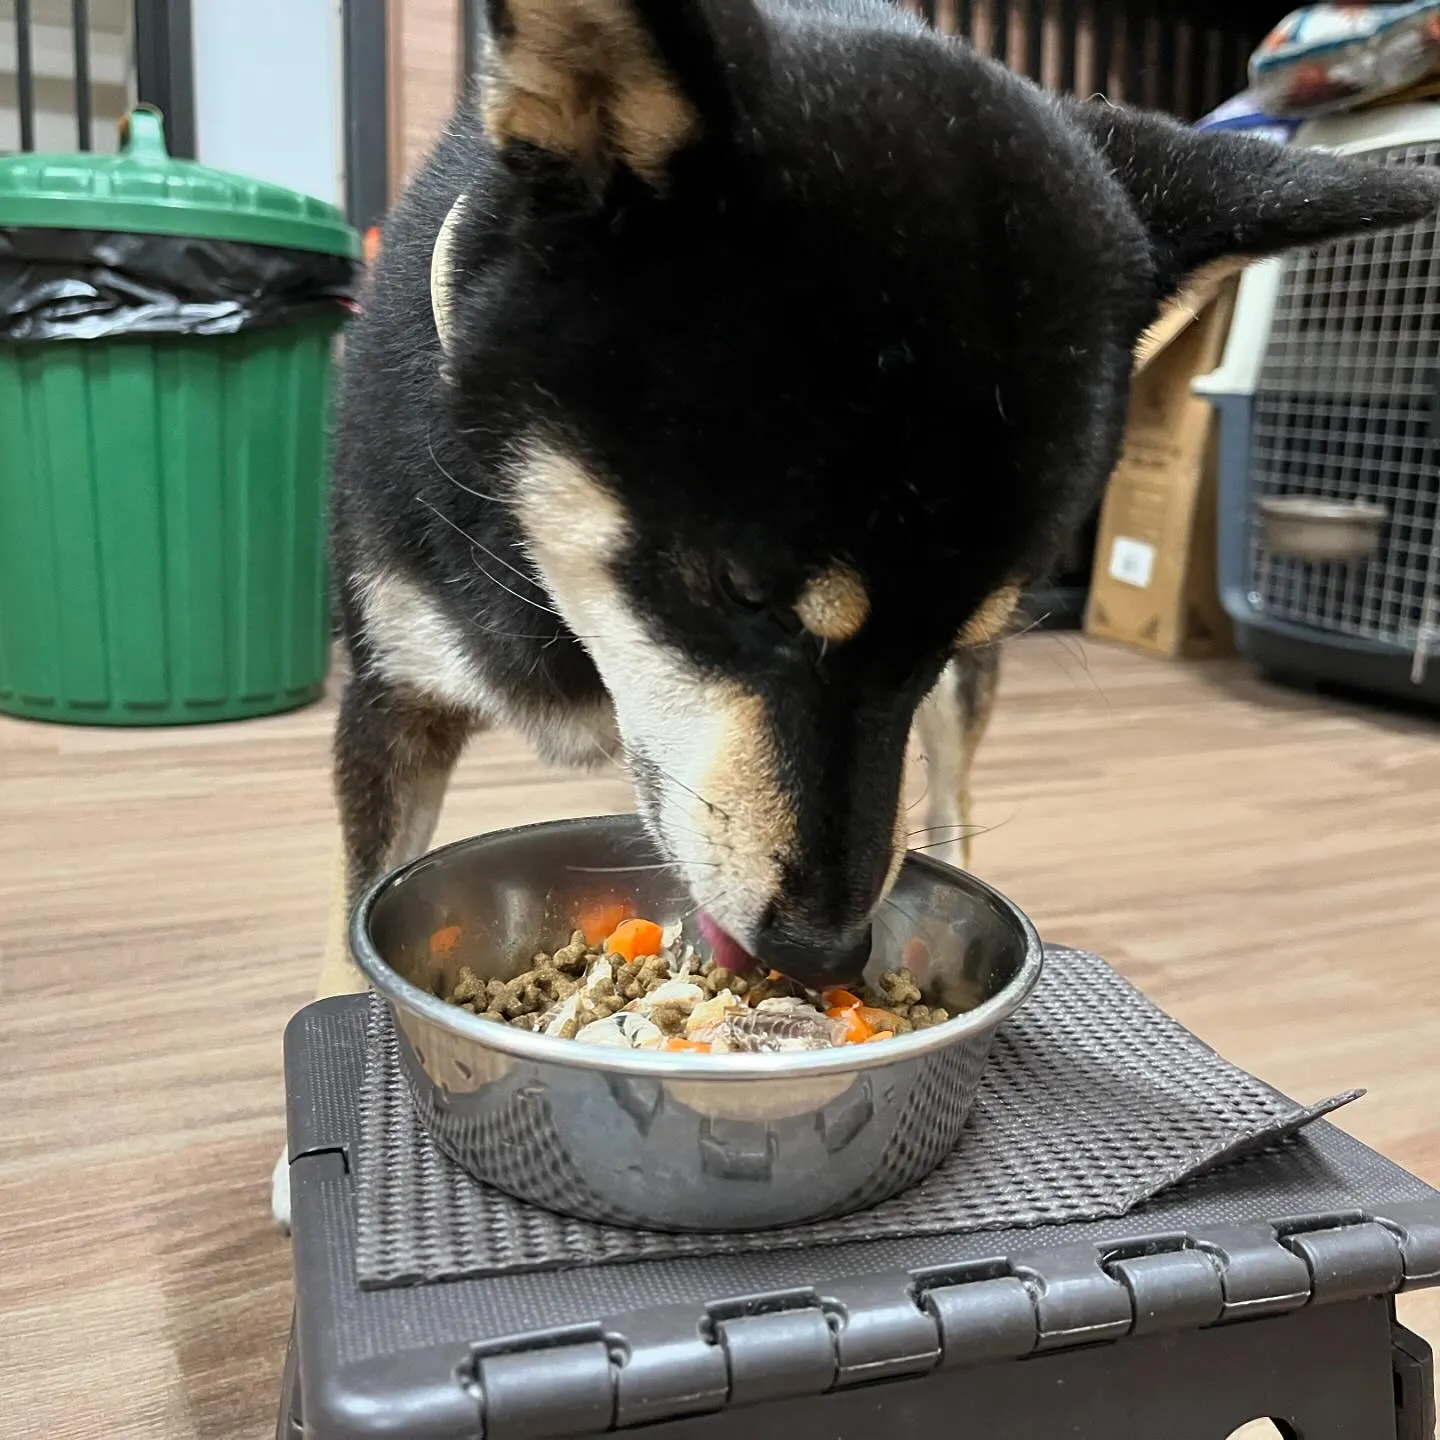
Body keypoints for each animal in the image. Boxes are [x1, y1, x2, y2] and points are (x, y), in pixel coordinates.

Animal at [298, 0, 1434, 1146]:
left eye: (967, 631)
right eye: (741, 590)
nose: (822, 956)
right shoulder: (390, 699)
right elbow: (350, 917)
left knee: (955, 794)